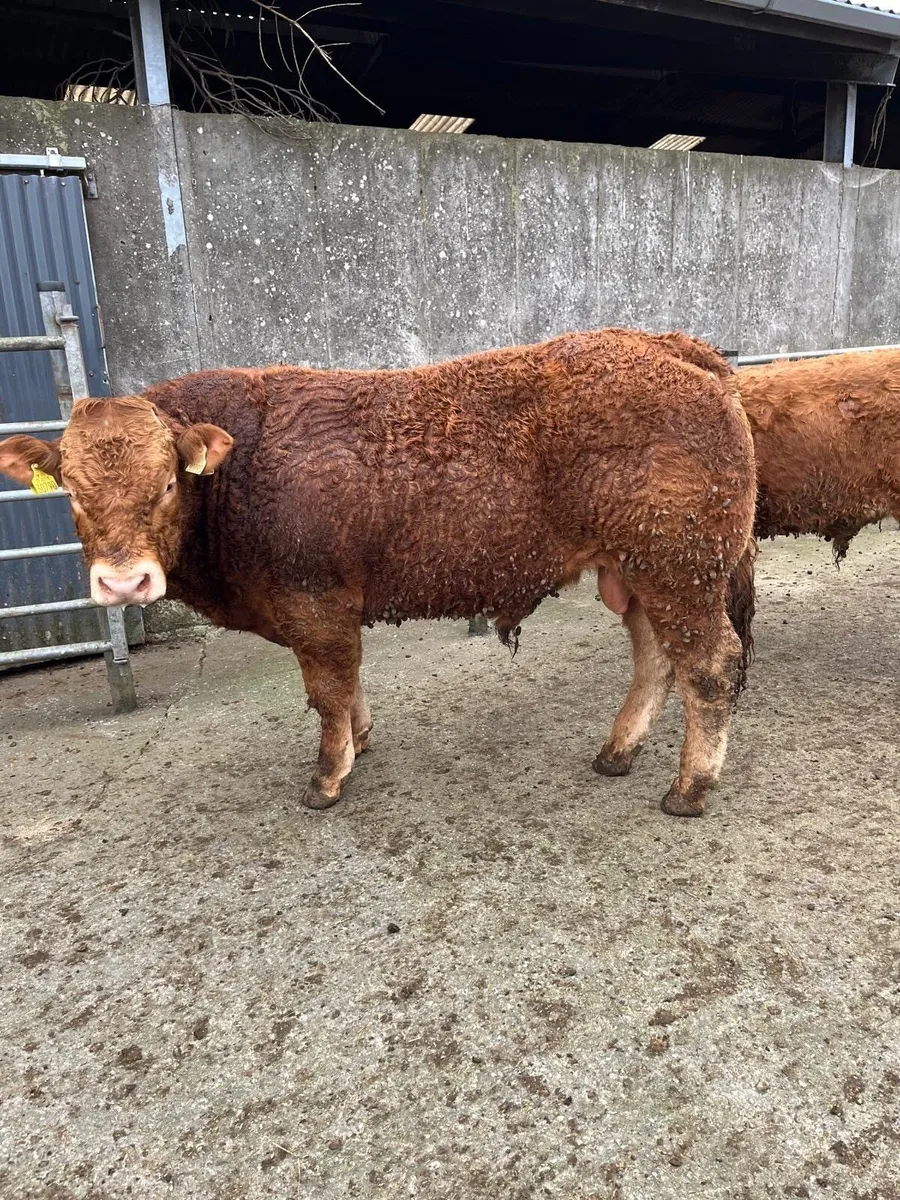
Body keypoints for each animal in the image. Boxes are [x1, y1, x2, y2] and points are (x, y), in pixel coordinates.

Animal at [0, 329, 757, 818]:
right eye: (70, 491)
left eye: (164, 485)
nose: (123, 584)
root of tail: (668, 345)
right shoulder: (330, 608)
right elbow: (349, 682)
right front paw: (359, 743)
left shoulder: (312, 602)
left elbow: (327, 691)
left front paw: (327, 776)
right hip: (638, 571)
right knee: (656, 659)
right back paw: (618, 750)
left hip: (680, 565)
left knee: (710, 664)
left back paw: (689, 789)